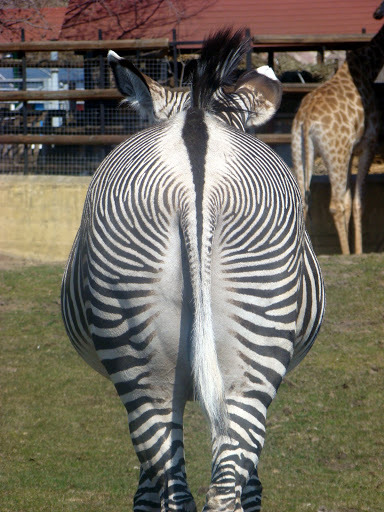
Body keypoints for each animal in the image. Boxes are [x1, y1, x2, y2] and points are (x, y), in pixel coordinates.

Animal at [292, 7, 384, 255]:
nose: (376, 12)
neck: (368, 67)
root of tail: (305, 119)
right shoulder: (368, 144)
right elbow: (358, 202)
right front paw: (358, 252)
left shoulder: (351, 152)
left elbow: (349, 199)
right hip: (334, 153)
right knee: (334, 204)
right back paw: (344, 253)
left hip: (301, 150)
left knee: (303, 200)